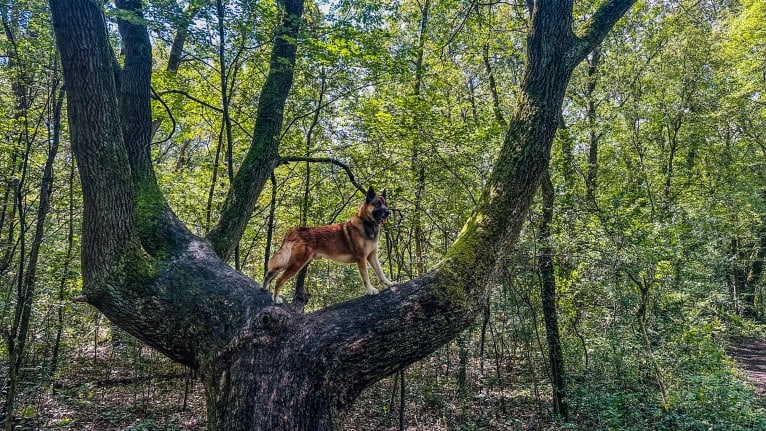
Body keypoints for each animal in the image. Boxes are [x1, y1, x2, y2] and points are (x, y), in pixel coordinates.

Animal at [264, 186, 396, 304]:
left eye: (386, 204)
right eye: (377, 204)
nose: (388, 212)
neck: (367, 223)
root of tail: (296, 230)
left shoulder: (372, 256)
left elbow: (381, 273)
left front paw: (389, 283)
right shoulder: (361, 258)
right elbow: (365, 277)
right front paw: (370, 290)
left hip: (288, 262)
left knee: (269, 273)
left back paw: (265, 289)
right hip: (296, 263)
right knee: (279, 280)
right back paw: (276, 299)